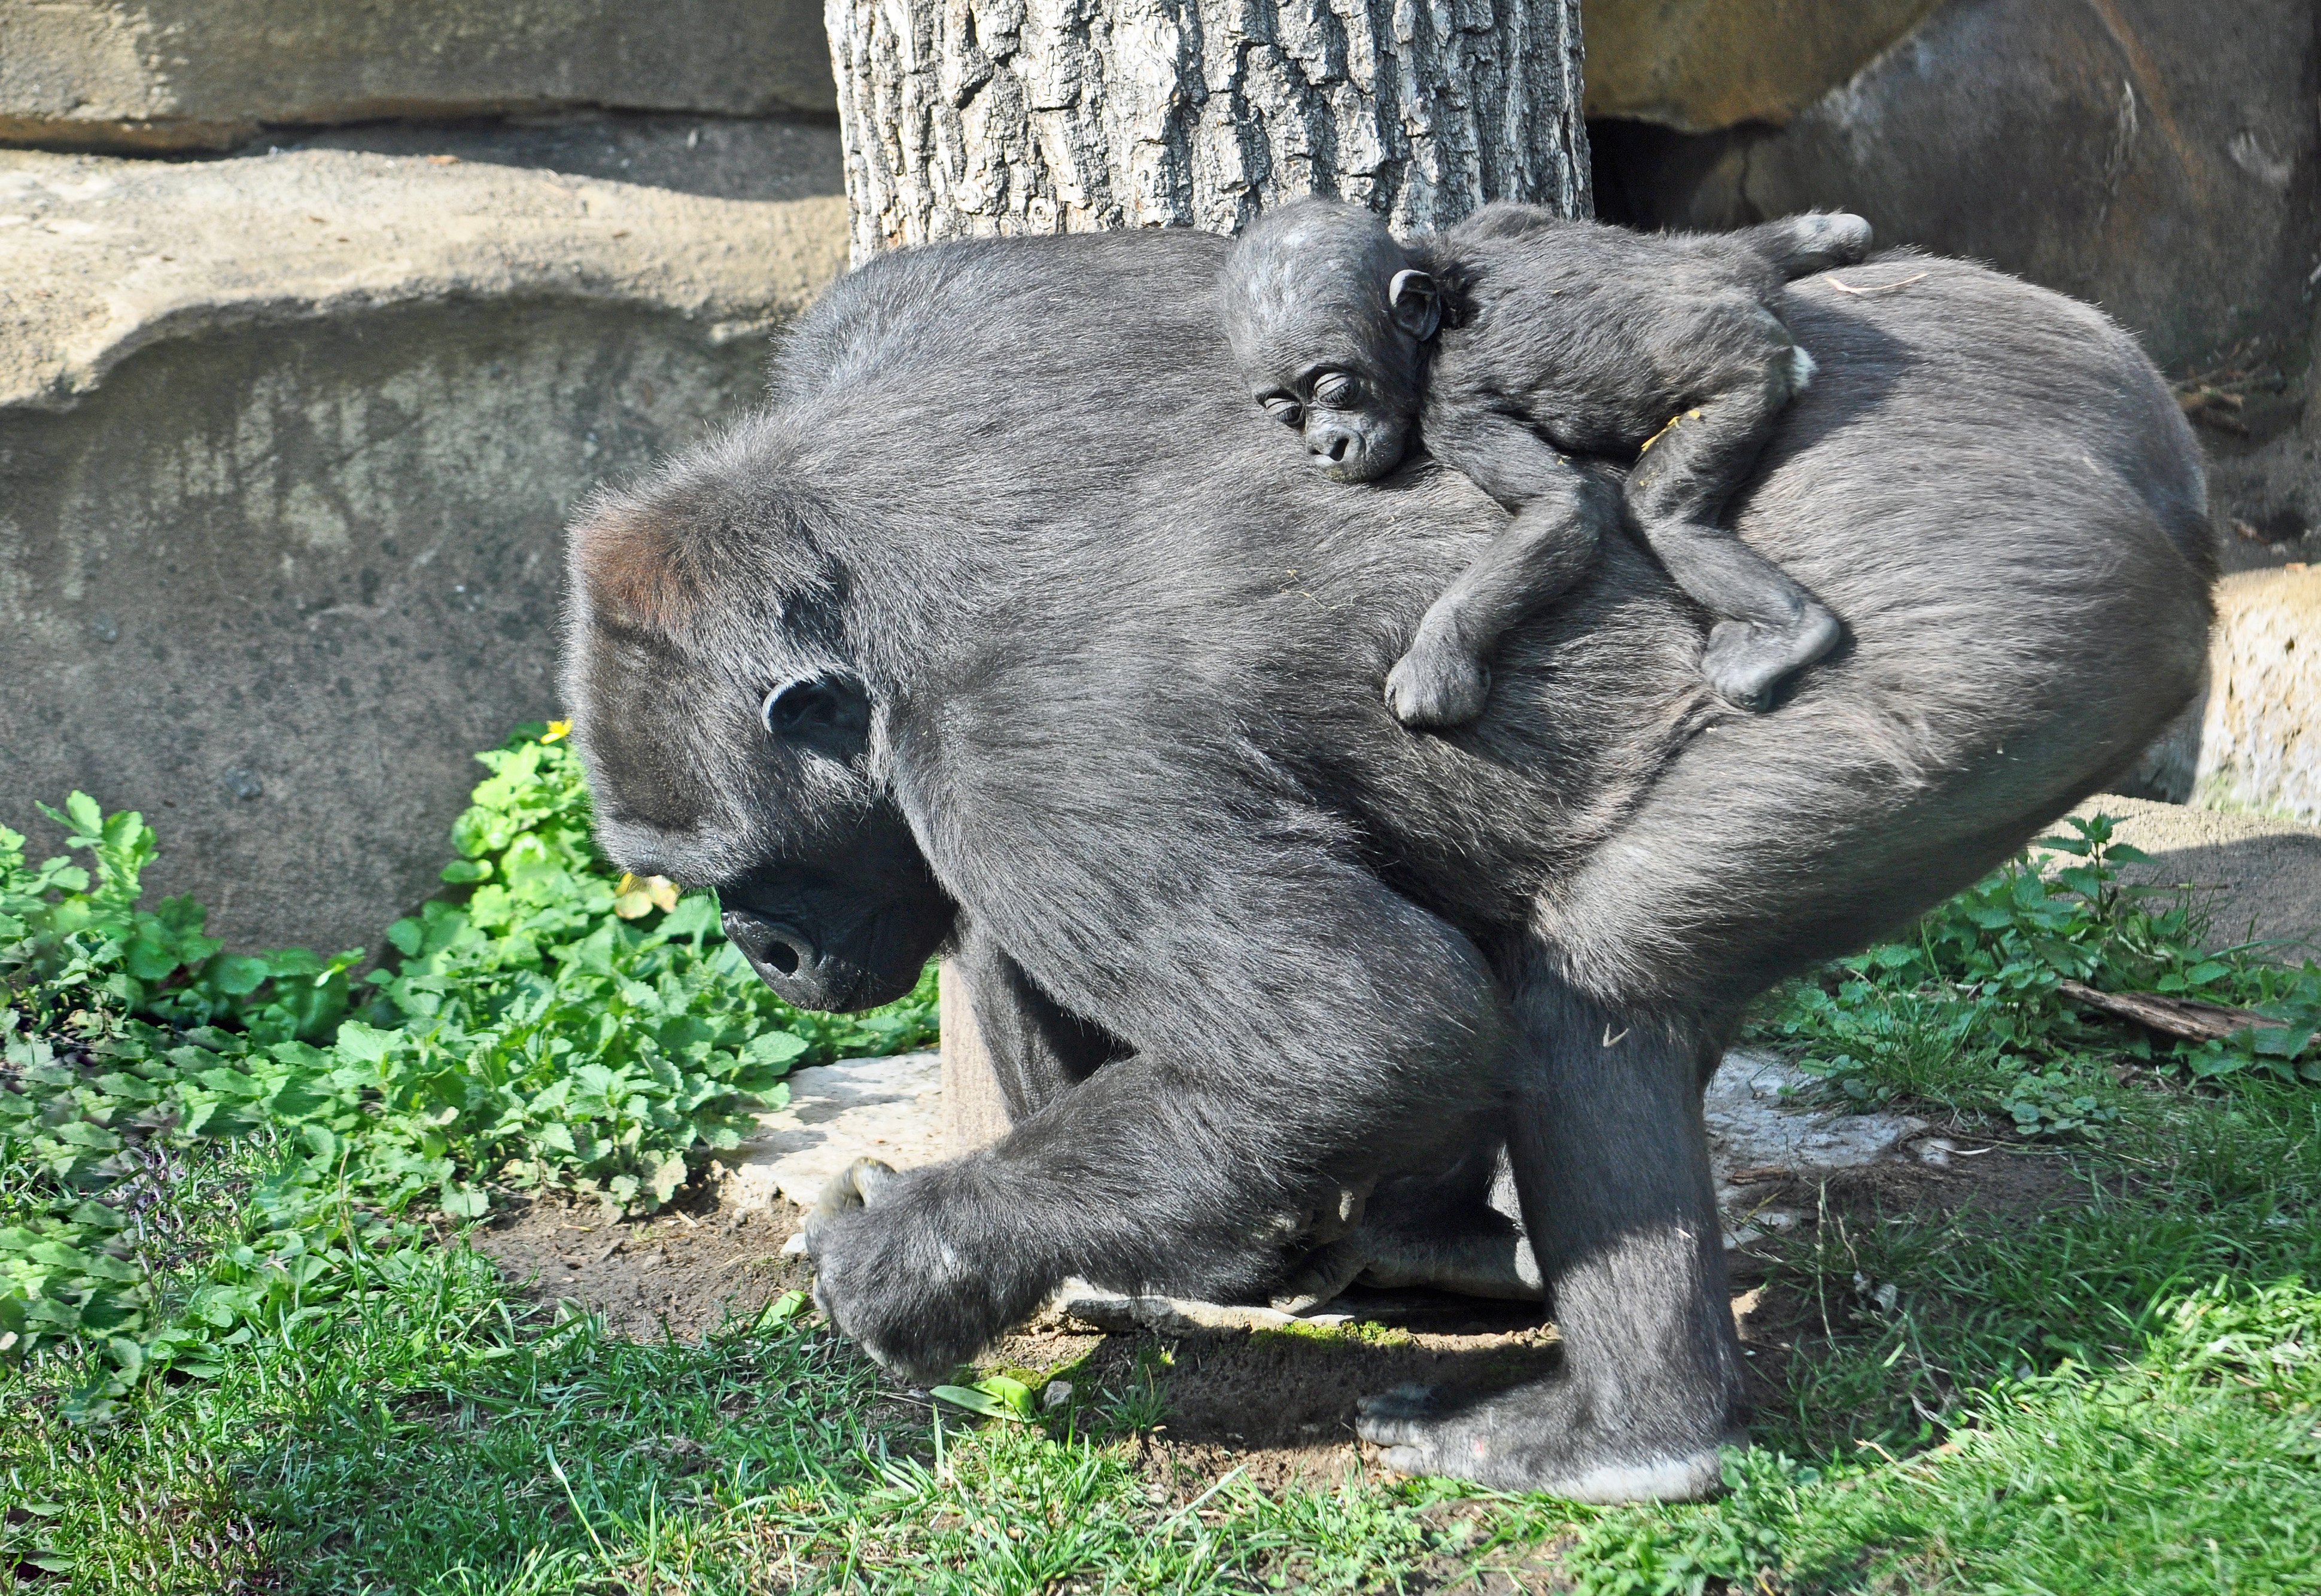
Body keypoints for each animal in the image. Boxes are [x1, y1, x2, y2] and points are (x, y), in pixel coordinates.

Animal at [1225, 198, 1875, 719]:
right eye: (1286, 411)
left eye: (1336, 390)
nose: (1325, 445)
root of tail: (1760, 306)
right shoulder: (1498, 215)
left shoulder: (1450, 411)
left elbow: (1560, 507)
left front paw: (1437, 660)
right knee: (1715, 251)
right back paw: (1826, 233)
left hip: (1745, 383)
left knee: (1661, 516)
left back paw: (1792, 632)